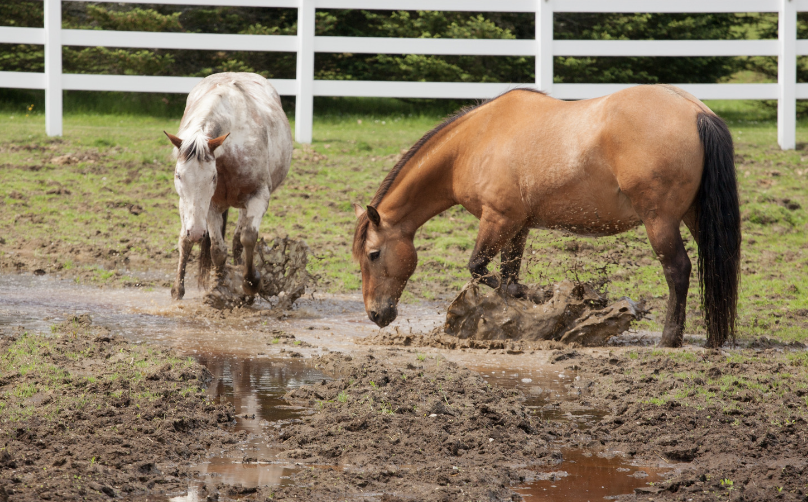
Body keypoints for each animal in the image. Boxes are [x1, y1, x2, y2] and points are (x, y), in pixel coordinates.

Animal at [356, 84, 744, 348]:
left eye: (373, 255)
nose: (376, 313)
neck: (475, 141)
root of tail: (697, 111)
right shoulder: (517, 226)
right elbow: (507, 278)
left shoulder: (497, 219)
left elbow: (480, 269)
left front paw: (546, 299)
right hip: (695, 217)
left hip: (659, 221)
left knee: (678, 271)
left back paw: (669, 338)